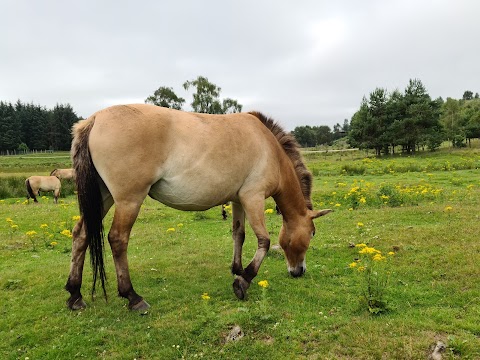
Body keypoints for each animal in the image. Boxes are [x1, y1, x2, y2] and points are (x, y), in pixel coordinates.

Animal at [65, 102, 332, 310]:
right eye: (312, 234)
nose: (298, 271)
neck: (270, 149)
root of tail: (94, 119)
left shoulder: (238, 200)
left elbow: (239, 234)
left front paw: (237, 269)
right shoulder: (253, 198)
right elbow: (264, 241)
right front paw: (243, 281)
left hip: (103, 197)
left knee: (81, 234)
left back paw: (75, 294)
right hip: (128, 200)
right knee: (118, 239)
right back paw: (133, 297)